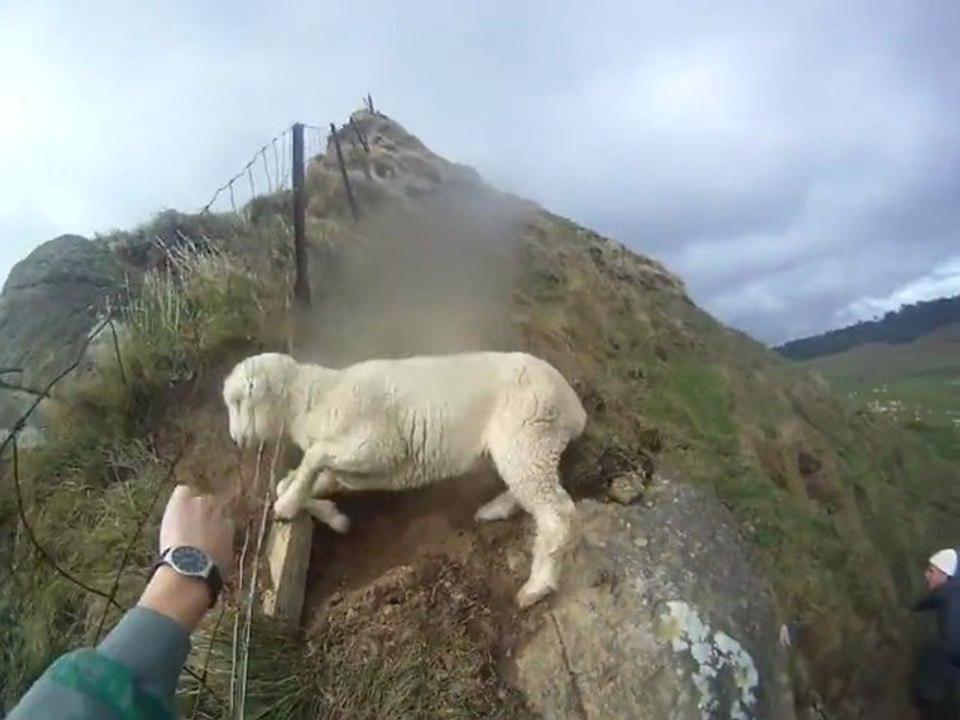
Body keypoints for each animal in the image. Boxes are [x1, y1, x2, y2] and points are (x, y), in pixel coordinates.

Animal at [222, 350, 587, 608]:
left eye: (239, 401)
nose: (236, 440)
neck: (313, 400)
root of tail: (575, 409)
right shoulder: (357, 469)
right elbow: (294, 479)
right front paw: (329, 514)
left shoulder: (378, 445)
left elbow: (312, 458)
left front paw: (288, 507)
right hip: (528, 447)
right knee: (530, 491)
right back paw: (495, 509)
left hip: (528, 434)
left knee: (558, 513)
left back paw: (537, 587)